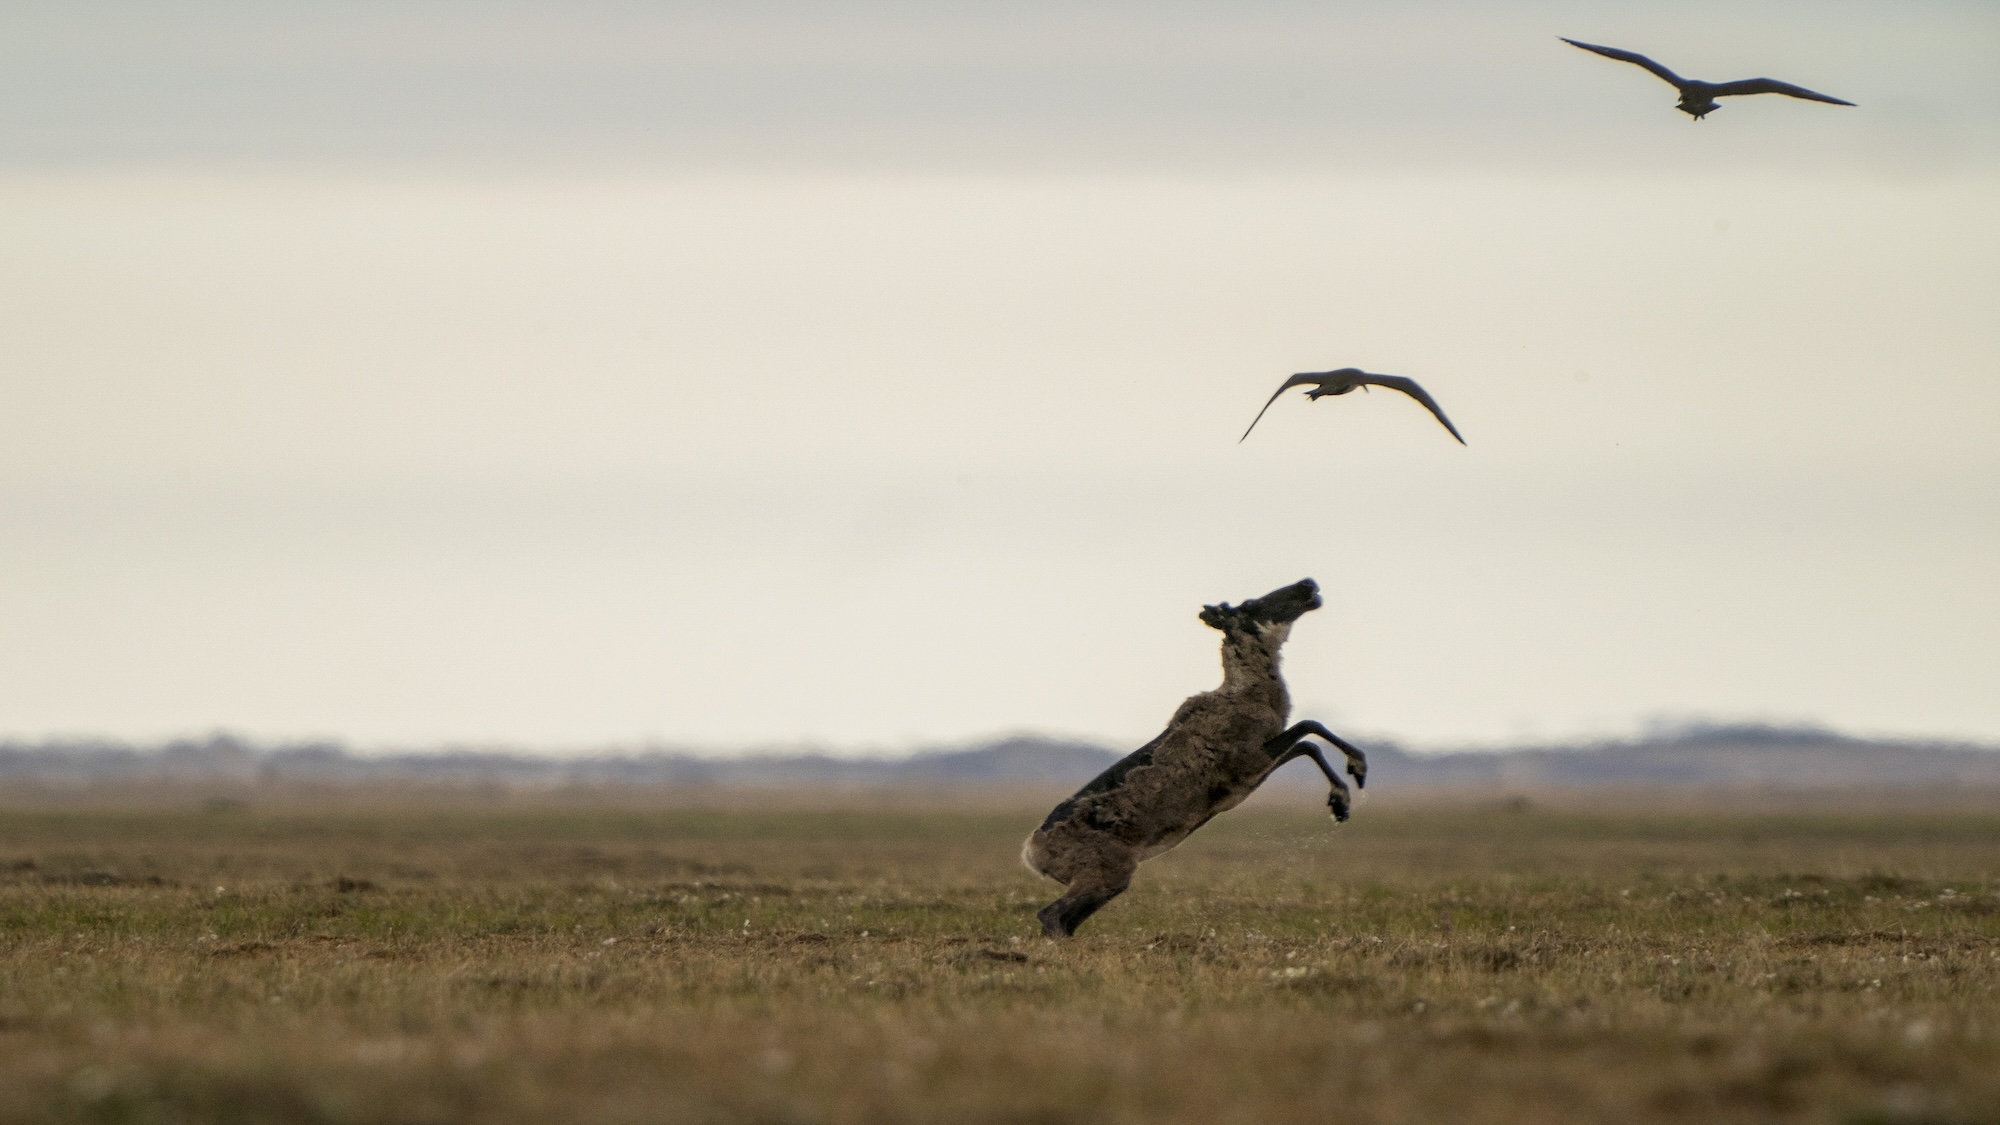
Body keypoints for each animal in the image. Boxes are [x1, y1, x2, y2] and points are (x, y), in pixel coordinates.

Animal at [1021, 578, 1366, 937]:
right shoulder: (1249, 760)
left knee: (1063, 919)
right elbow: (1310, 726)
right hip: (1107, 872)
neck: (1251, 694)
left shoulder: (1256, 770)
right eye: (1249, 604)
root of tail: (1031, 855)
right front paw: (1352, 780)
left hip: (1107, 879)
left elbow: (1307, 743)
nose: (1307, 583)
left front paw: (1342, 800)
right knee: (1052, 915)